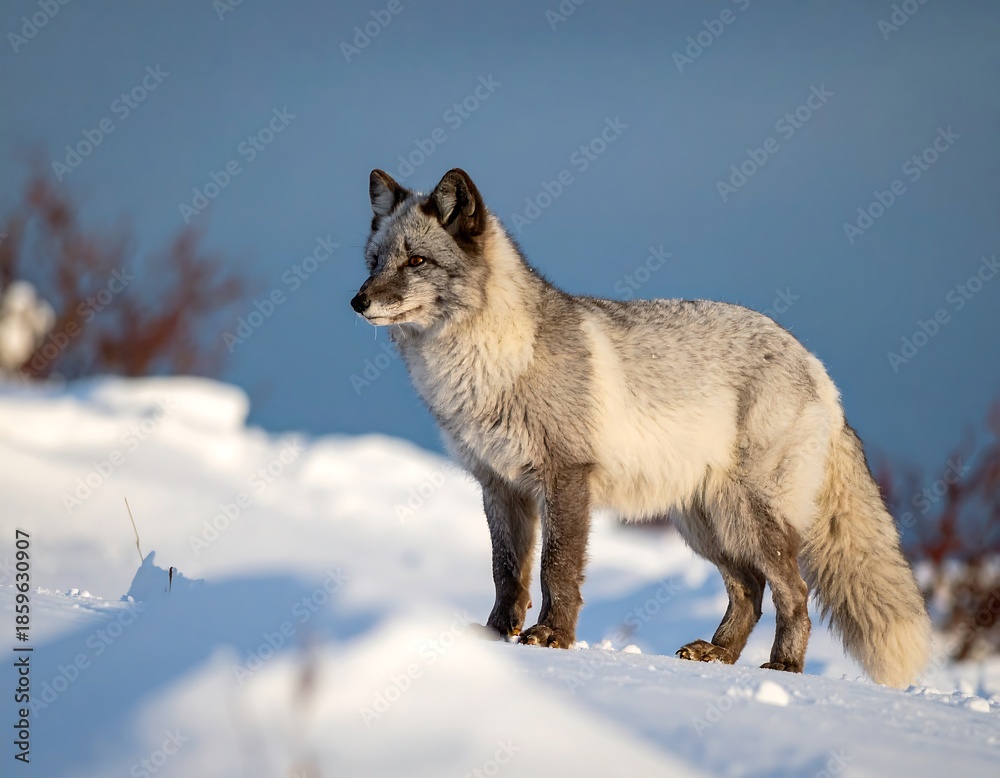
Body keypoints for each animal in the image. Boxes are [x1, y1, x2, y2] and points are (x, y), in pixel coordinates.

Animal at [350, 167, 931, 688]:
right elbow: (507, 572)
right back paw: (717, 654)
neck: (488, 367)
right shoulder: (499, 486)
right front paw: (496, 638)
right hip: (705, 525)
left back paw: (785, 667)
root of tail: (815, 364)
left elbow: (557, 568)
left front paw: (552, 638)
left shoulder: (565, 478)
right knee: (749, 590)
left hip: (747, 518)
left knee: (794, 592)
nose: (358, 301)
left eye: (417, 261)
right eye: (375, 261)